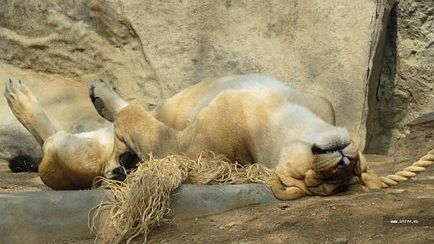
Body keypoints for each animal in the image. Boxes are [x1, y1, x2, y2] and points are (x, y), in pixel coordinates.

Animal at [4, 74, 434, 198]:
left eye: (317, 181)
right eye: (357, 166)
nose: (343, 164)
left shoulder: (181, 146)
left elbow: (137, 120)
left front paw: (103, 96)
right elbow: (142, 116)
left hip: (66, 157)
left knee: (53, 141)